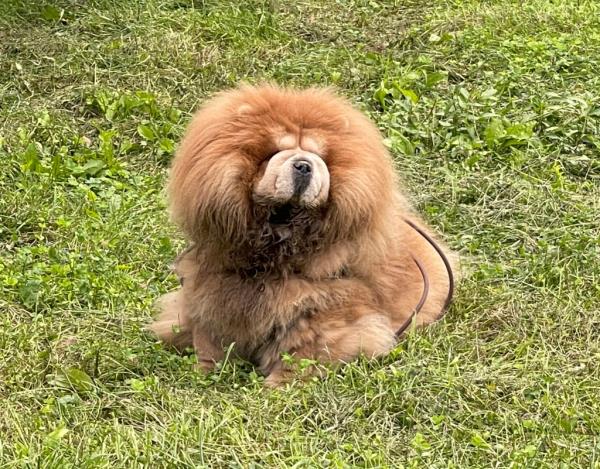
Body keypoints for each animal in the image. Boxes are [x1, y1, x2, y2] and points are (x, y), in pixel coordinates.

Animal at [149, 84, 454, 384]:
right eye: (274, 153)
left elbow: (301, 351)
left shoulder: (320, 306)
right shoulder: (213, 289)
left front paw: (279, 385)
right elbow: (209, 337)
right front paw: (205, 372)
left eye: (320, 158)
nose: (304, 165)